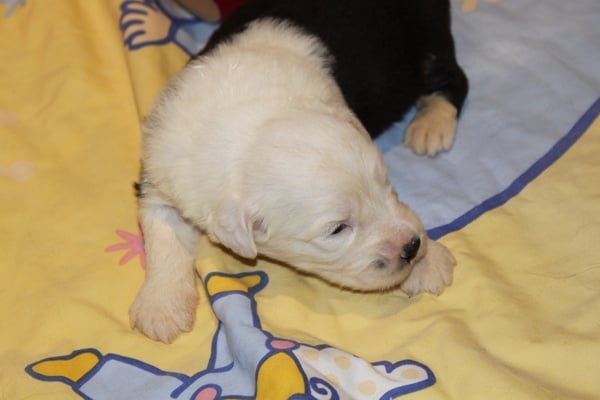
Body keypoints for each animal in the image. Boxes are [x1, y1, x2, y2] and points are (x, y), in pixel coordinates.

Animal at [130, 0, 468, 343]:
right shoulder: (160, 174)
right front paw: (161, 307)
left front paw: (430, 262)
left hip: (426, 34)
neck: (240, 131)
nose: (412, 247)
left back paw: (431, 126)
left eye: (385, 183)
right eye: (337, 229)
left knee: (453, 78)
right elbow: (162, 232)